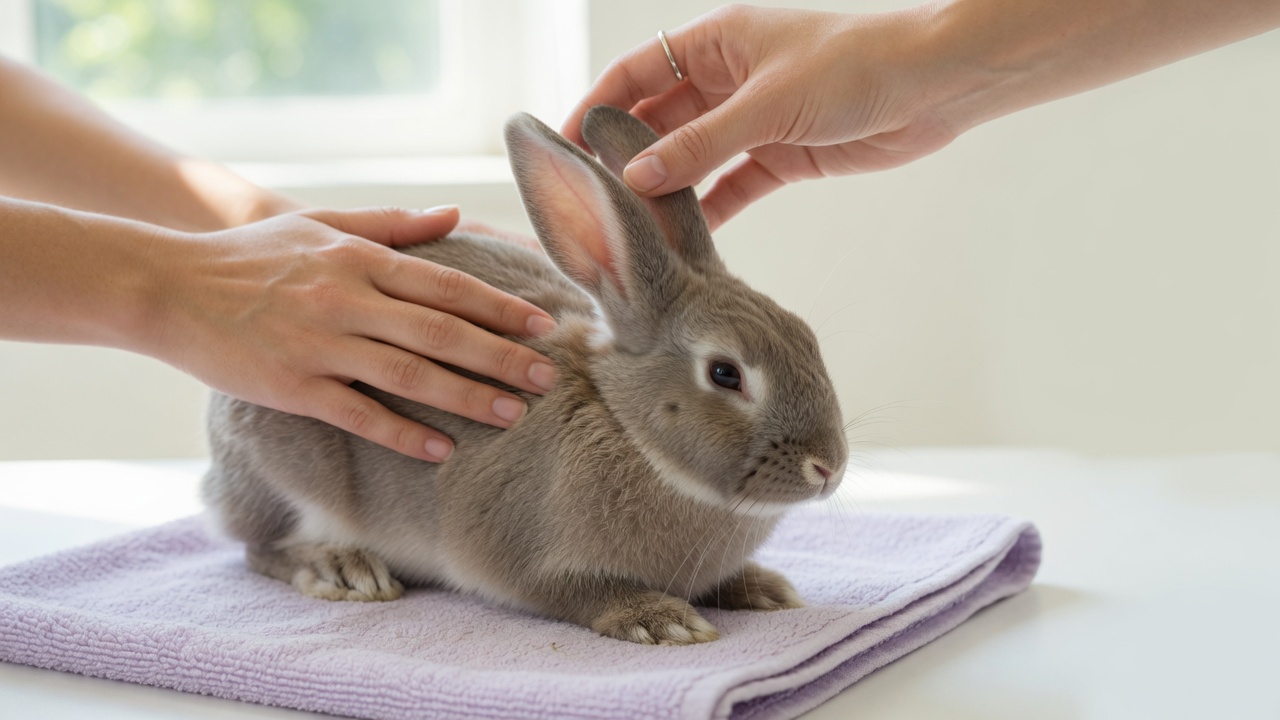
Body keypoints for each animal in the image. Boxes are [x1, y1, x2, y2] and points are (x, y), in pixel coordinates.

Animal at [201, 105, 849, 645]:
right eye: (725, 374)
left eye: (807, 339)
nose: (829, 468)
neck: (625, 424)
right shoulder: (523, 558)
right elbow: (577, 594)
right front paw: (660, 620)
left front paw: (764, 589)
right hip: (288, 468)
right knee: (259, 547)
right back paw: (341, 568)